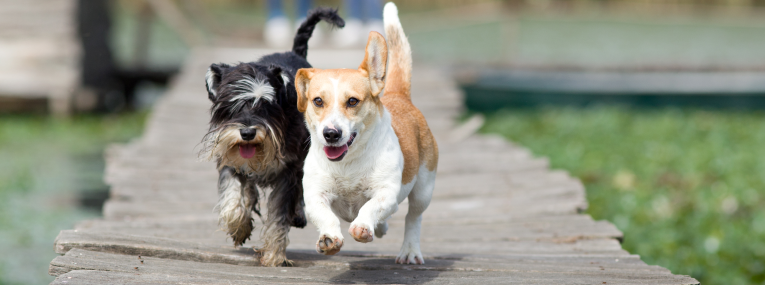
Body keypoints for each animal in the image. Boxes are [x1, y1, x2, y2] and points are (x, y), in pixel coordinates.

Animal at [203, 8, 346, 266]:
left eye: (266, 105)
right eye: (230, 106)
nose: (247, 132)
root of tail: (294, 52)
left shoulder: (287, 172)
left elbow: (279, 214)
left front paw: (274, 255)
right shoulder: (230, 161)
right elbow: (232, 198)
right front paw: (239, 227)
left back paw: (297, 214)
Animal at [292, 2, 436, 264]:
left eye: (352, 101)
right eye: (317, 101)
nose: (331, 133)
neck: (348, 163)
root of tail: (398, 95)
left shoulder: (386, 193)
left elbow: (370, 207)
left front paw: (362, 227)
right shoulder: (315, 195)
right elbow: (325, 216)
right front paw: (329, 238)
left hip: (423, 189)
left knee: (413, 217)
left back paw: (409, 250)